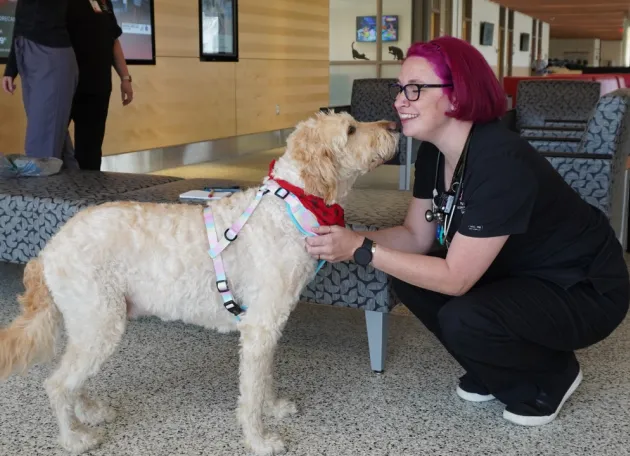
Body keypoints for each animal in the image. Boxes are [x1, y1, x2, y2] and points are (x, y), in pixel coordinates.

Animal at [0, 111, 400, 456]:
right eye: (350, 129)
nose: (394, 125)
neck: (290, 206)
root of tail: (49, 248)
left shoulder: (267, 329)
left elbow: (265, 378)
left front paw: (272, 407)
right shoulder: (260, 327)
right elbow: (250, 394)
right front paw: (259, 440)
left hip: (90, 324)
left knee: (71, 378)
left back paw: (88, 413)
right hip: (101, 322)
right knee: (57, 384)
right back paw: (73, 439)